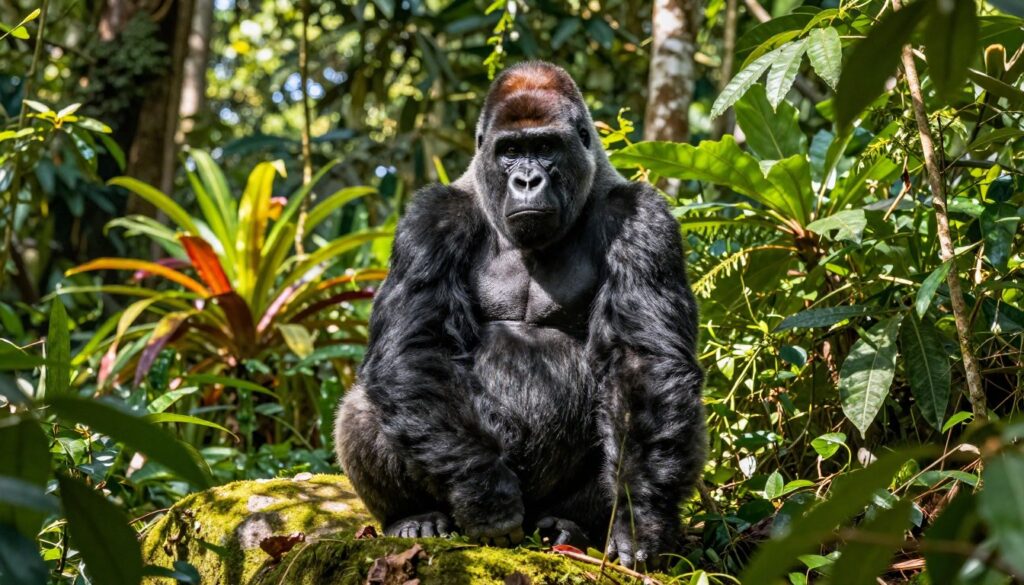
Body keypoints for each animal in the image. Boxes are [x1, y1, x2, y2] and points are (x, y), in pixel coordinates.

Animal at [335, 61, 705, 569]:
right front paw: (483, 490)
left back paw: (570, 525)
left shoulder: (643, 220)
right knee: (365, 404)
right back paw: (414, 516)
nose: (527, 181)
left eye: (545, 147)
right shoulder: (429, 219)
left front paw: (638, 519)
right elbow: (417, 348)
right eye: (510, 151)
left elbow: (641, 363)